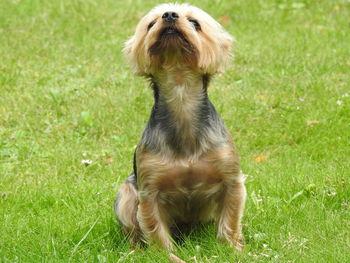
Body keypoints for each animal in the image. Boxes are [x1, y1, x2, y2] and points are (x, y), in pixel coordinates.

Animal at [115, 3, 246, 253]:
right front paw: (166, 254)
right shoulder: (149, 190)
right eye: (151, 24)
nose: (169, 15)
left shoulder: (231, 180)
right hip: (126, 192)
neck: (181, 93)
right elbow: (156, 229)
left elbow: (230, 219)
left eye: (195, 22)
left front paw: (233, 248)